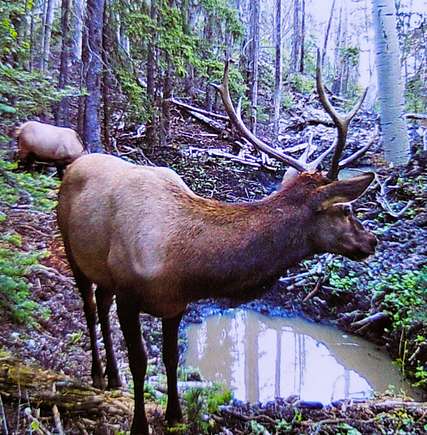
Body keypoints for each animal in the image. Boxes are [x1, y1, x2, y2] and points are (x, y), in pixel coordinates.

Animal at [57, 53, 378, 434]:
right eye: (346, 209)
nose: (372, 240)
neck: (183, 267)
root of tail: (72, 164)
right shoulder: (130, 294)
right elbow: (140, 360)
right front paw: (140, 424)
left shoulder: (175, 304)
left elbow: (171, 359)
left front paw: (175, 415)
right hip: (70, 247)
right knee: (90, 309)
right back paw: (97, 374)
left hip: (104, 272)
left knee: (102, 305)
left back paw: (112, 376)